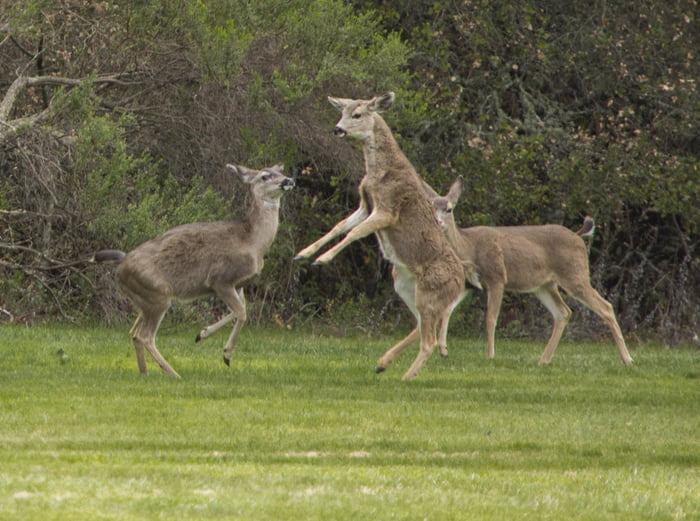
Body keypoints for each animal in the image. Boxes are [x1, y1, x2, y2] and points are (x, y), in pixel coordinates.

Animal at [91, 160, 294, 376]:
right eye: (265, 176)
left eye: (280, 172)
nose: (289, 180)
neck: (252, 242)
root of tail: (121, 265)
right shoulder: (220, 278)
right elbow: (241, 313)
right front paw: (226, 354)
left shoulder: (239, 284)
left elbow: (239, 310)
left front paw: (202, 334)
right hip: (157, 294)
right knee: (145, 335)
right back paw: (173, 373)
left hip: (144, 299)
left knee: (134, 332)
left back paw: (145, 372)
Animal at [290, 92, 476, 378]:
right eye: (342, 112)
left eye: (357, 114)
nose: (337, 129)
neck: (381, 172)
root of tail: (462, 278)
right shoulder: (365, 205)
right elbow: (339, 226)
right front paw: (303, 254)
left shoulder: (388, 210)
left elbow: (354, 233)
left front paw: (322, 260)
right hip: (405, 285)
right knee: (421, 327)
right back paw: (382, 363)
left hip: (430, 292)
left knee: (430, 340)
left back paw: (405, 377)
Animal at [432, 177, 636, 364]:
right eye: (431, 207)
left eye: (449, 209)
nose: (438, 223)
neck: (469, 246)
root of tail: (577, 236)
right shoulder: (470, 283)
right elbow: (447, 309)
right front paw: (443, 349)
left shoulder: (497, 277)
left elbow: (490, 318)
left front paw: (490, 356)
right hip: (545, 285)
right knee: (563, 312)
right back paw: (543, 360)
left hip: (574, 273)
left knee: (605, 306)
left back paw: (627, 359)